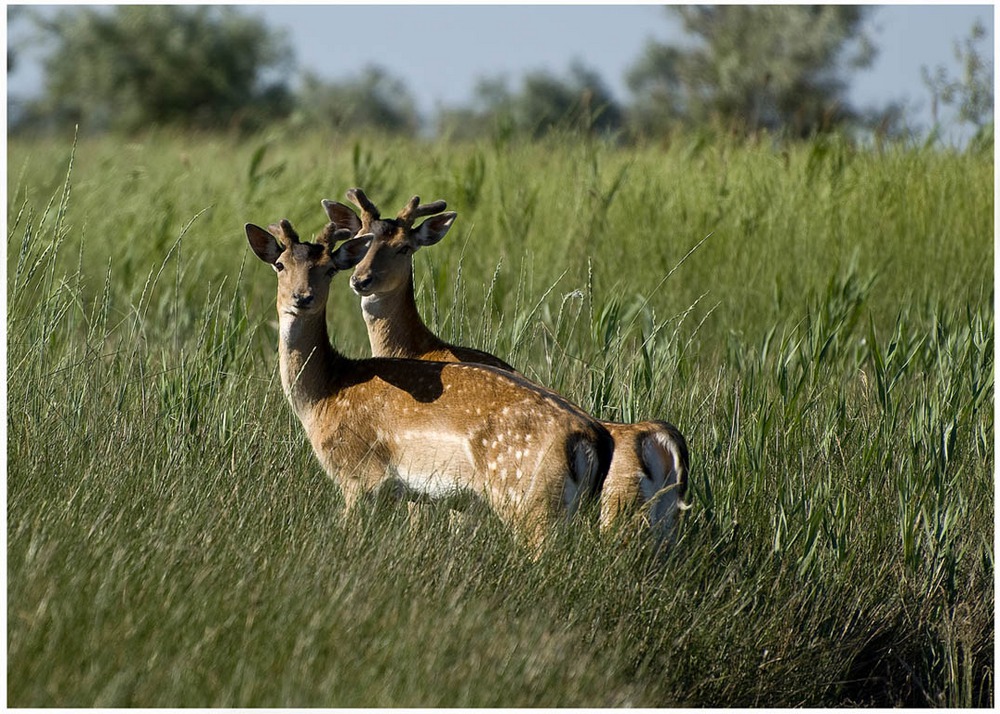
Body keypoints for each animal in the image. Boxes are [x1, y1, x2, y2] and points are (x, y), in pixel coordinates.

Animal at [245, 214, 612, 548]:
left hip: (530, 499)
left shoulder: (360, 476)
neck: (325, 394)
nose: (302, 297)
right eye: (280, 265)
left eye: (330, 268)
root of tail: (591, 437)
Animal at [324, 189, 692, 544]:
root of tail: (660, 444)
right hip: (661, 525)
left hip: (616, 515)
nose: (361, 280)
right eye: (360, 236)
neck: (422, 348)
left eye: (403, 247)